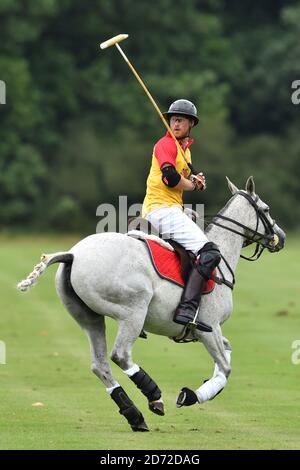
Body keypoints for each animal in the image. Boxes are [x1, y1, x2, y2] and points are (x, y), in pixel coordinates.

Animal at [17, 177, 284, 434]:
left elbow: (225, 357)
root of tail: (73, 254)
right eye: (266, 209)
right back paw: (154, 396)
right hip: (133, 311)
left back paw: (135, 416)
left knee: (100, 365)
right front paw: (189, 396)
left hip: (89, 318)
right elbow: (226, 368)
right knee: (121, 355)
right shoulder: (209, 326)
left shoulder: (205, 331)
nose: (280, 239)